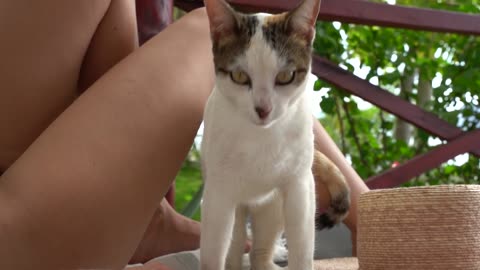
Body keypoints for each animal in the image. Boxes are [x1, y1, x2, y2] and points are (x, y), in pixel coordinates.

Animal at [201, 0, 350, 270]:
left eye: (285, 76)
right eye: (239, 76)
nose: (263, 109)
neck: (263, 138)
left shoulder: (300, 187)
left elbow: (302, 248)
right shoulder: (219, 193)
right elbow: (214, 252)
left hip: (274, 206)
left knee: (260, 250)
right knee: (236, 242)